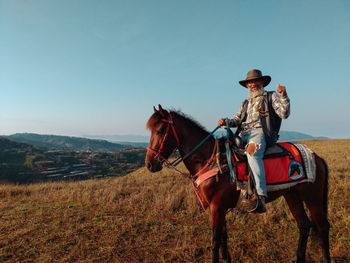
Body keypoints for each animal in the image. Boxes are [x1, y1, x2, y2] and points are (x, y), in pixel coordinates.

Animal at [144, 105, 330, 263]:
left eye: (160, 131)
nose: (150, 164)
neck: (211, 160)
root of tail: (316, 157)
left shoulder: (217, 207)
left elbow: (215, 241)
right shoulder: (219, 208)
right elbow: (223, 237)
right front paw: (227, 259)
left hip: (312, 197)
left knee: (322, 226)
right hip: (292, 195)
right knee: (304, 225)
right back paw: (298, 258)